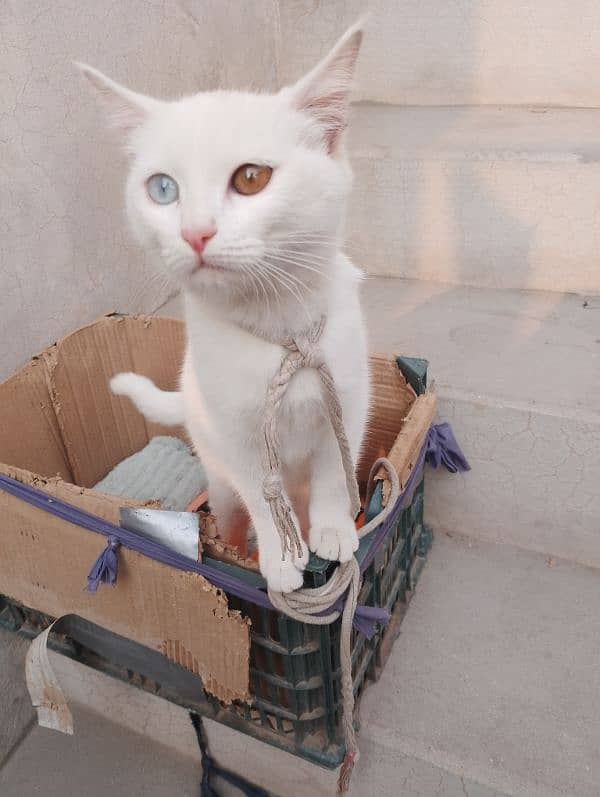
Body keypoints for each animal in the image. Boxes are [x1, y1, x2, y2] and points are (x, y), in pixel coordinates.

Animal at [79, 21, 370, 592]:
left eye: (251, 178)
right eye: (162, 188)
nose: (195, 232)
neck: (280, 332)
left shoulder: (348, 398)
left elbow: (332, 469)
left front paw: (333, 529)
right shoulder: (237, 438)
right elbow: (262, 495)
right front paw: (280, 557)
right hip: (215, 472)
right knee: (233, 510)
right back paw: (237, 548)